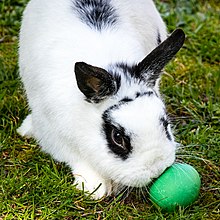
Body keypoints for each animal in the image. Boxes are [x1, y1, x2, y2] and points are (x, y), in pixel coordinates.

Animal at [17, 0, 186, 199]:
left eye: (165, 123)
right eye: (117, 137)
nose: (157, 168)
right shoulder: (53, 135)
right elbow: (77, 159)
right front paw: (93, 188)